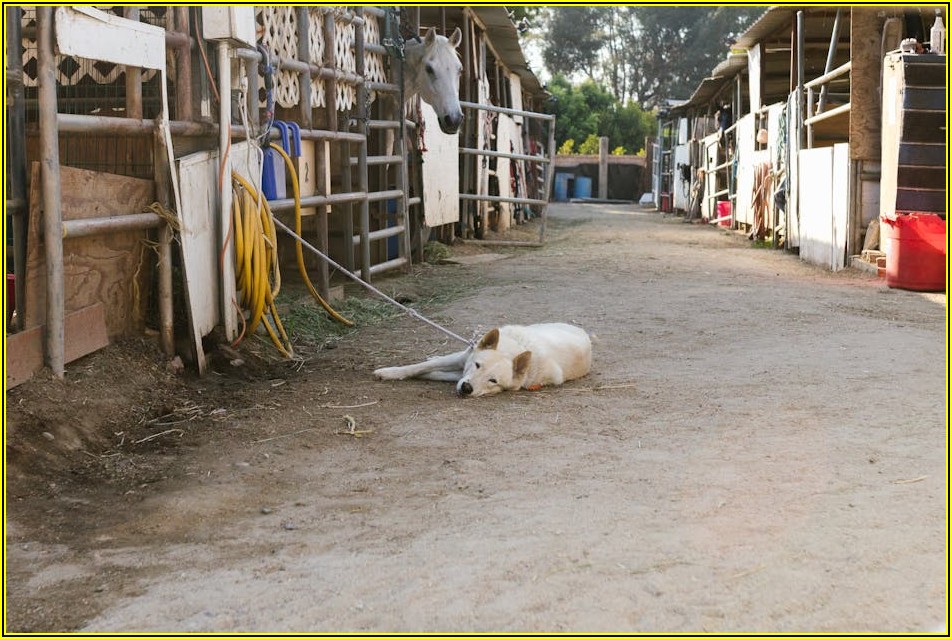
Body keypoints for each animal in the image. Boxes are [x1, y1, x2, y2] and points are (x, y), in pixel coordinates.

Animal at [373, 323, 592, 397]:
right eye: (477, 365)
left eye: (493, 381)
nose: (466, 388)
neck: (512, 350)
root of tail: (582, 331)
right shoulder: (463, 360)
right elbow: (423, 366)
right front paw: (390, 372)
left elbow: (434, 373)